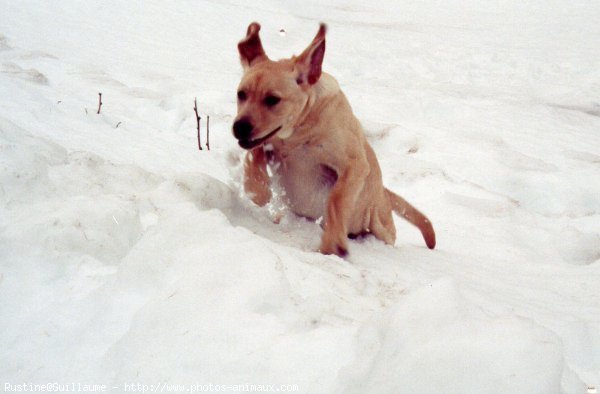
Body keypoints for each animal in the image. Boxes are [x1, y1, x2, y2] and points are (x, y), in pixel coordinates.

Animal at [233, 22, 436, 255]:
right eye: (241, 94)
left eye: (272, 99)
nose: (239, 127)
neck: (298, 132)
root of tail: (384, 193)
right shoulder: (265, 143)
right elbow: (253, 155)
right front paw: (258, 187)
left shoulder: (354, 165)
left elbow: (336, 199)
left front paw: (333, 242)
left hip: (380, 222)